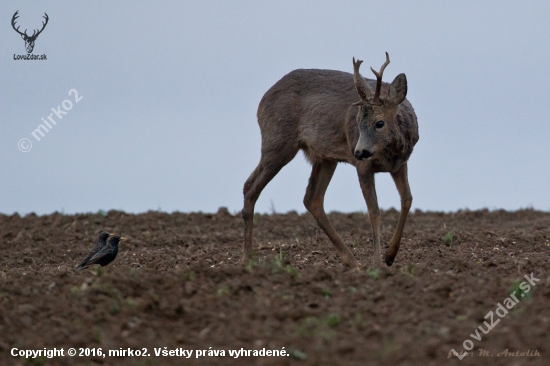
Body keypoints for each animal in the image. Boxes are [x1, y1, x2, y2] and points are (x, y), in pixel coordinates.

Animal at [242, 53, 418, 268]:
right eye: (357, 121)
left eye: (379, 123)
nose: (358, 151)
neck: (390, 149)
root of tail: (262, 101)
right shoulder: (363, 166)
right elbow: (374, 211)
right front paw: (378, 263)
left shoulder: (400, 163)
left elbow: (407, 199)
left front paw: (390, 255)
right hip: (277, 142)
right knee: (251, 187)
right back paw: (246, 259)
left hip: (324, 158)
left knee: (312, 199)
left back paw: (351, 261)